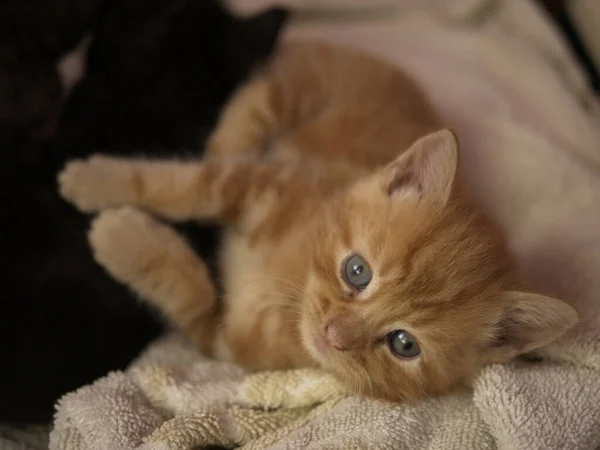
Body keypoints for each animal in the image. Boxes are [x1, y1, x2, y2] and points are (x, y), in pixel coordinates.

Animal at [57, 41, 576, 400]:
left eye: (404, 344)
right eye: (357, 271)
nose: (334, 335)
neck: (288, 283)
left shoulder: (227, 342)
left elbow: (194, 294)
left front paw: (118, 236)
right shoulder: (265, 183)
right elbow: (189, 186)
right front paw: (92, 182)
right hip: (296, 89)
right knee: (250, 108)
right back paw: (225, 142)